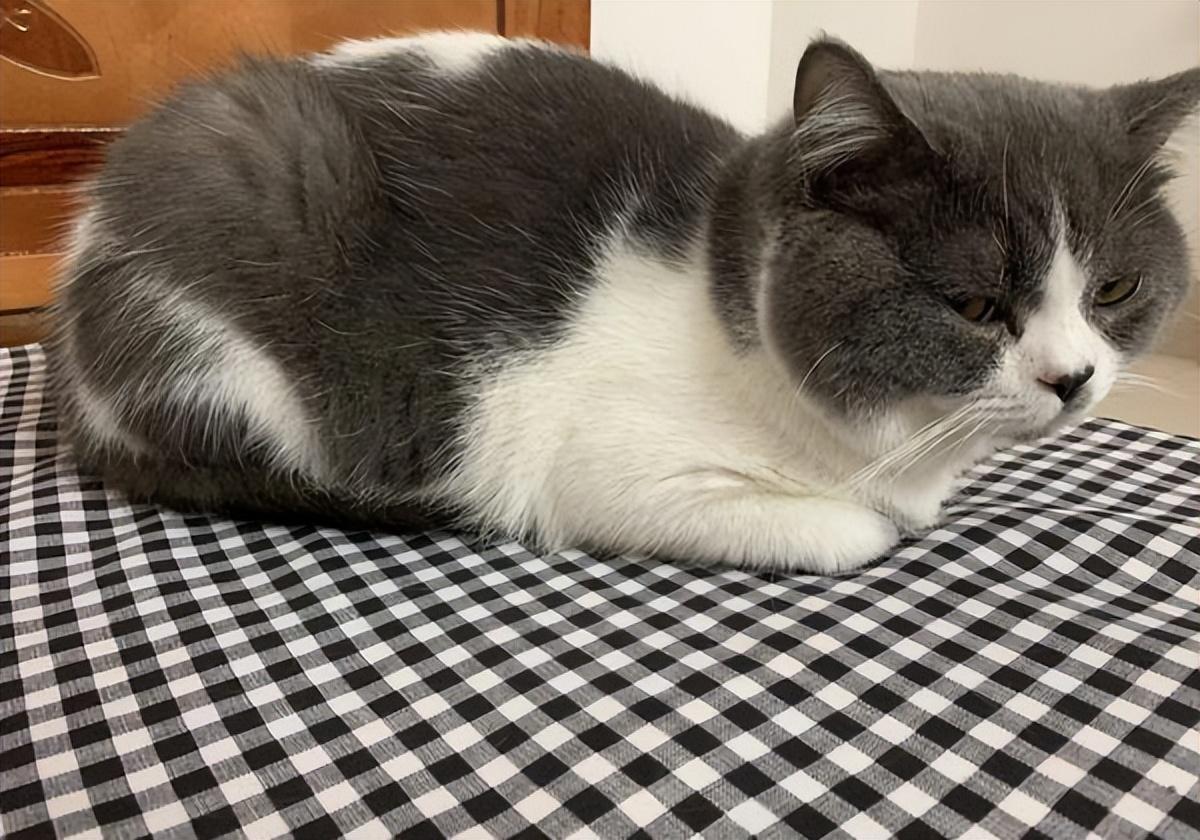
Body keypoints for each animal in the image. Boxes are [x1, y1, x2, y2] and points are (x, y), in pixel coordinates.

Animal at [50, 32, 1198, 572]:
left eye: (1115, 289)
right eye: (972, 306)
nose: (1074, 377)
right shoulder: (595, 463)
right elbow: (851, 533)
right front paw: (867, 522)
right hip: (248, 210)